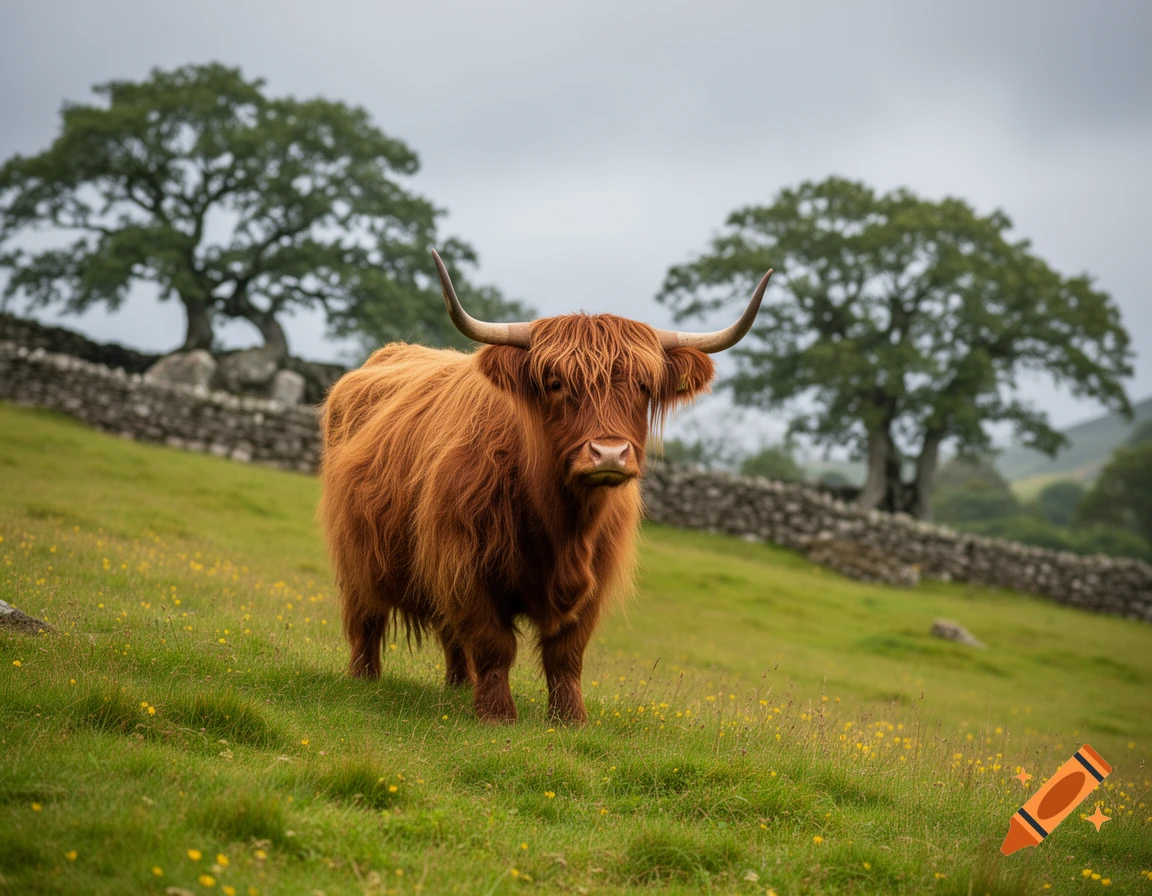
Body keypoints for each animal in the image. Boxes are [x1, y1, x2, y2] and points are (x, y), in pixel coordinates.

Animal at [318, 250, 772, 724]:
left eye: (643, 385)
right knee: (366, 617)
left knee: (450, 636)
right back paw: (364, 679)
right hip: (357, 553)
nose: (609, 454)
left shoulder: (594, 579)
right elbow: (494, 643)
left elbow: (566, 653)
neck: (561, 523)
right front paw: (497, 713)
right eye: (556, 383)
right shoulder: (464, 563)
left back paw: (458, 687)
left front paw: (570, 718)